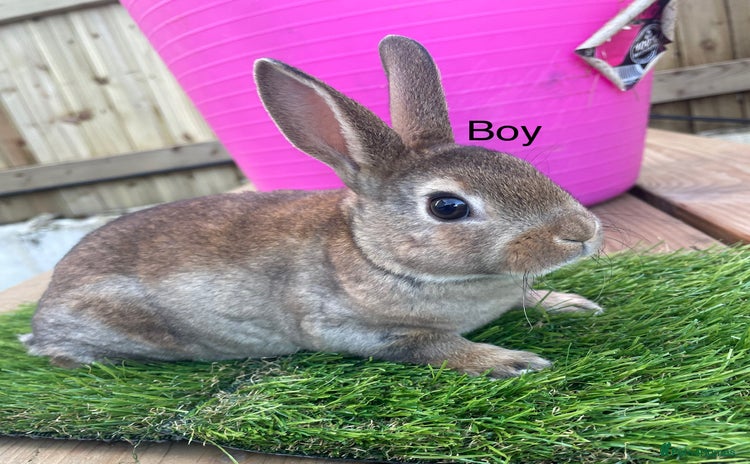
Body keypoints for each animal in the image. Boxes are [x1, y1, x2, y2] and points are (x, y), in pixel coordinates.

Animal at [20, 35, 603, 377]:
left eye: (513, 157)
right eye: (447, 207)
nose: (583, 232)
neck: (376, 254)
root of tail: (45, 309)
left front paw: (573, 304)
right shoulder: (352, 329)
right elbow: (432, 346)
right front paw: (512, 361)